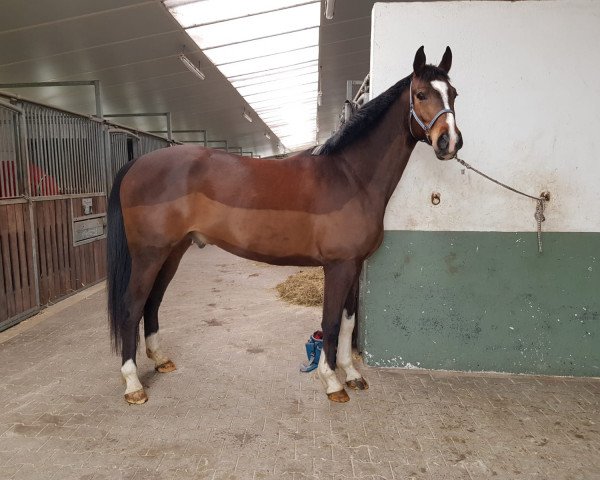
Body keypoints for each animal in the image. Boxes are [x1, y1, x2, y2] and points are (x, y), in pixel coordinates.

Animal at [108, 46, 464, 404]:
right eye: (420, 94)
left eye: (454, 93)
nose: (449, 142)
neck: (351, 176)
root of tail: (136, 164)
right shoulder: (338, 266)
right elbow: (331, 323)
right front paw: (332, 382)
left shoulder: (353, 265)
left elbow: (348, 322)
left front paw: (351, 375)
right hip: (149, 255)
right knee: (131, 307)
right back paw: (133, 384)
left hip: (172, 252)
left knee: (152, 303)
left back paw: (160, 359)